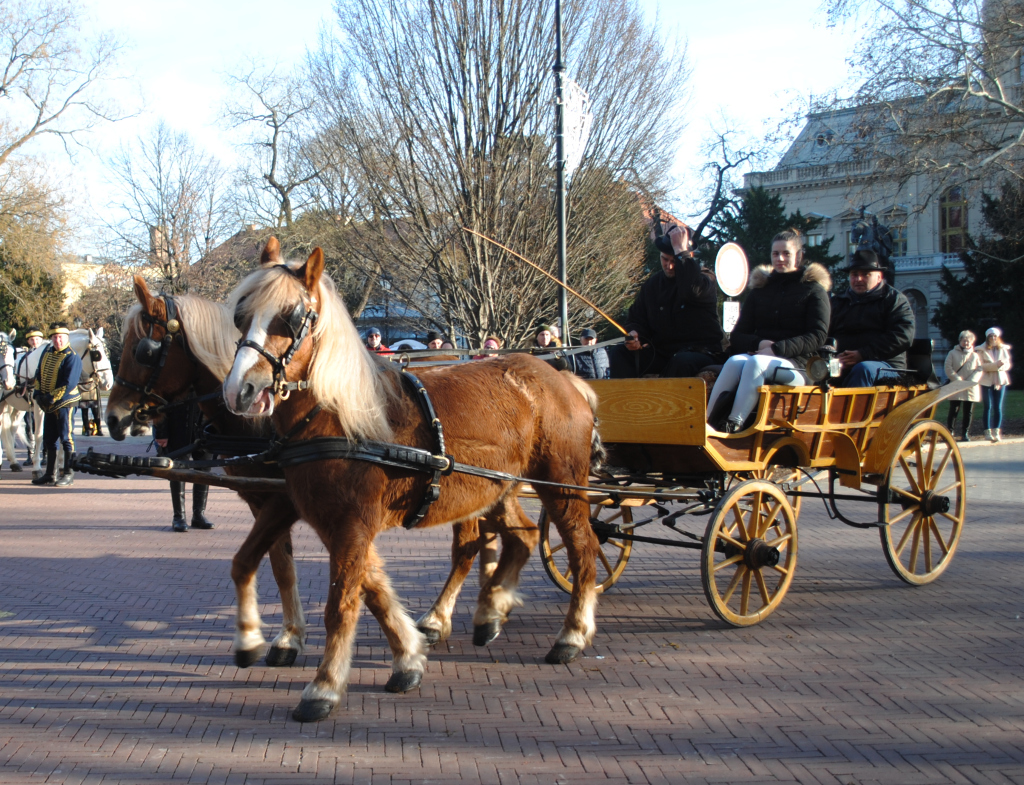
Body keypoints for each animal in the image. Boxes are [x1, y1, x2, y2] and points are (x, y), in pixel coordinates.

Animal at [1, 329, 113, 474]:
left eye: (107, 352)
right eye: (97, 354)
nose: (109, 383)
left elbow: (62, 433)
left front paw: (60, 465)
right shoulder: (38, 407)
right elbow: (39, 435)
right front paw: (37, 467)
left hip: (16, 406)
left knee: (11, 429)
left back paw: (13, 461)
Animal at [224, 241, 602, 724]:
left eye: (290, 318)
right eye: (241, 315)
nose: (241, 391)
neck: (342, 416)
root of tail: (565, 378)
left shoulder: (351, 524)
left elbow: (342, 604)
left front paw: (324, 687)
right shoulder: (315, 515)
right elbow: (368, 588)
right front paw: (408, 658)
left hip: (561, 485)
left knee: (582, 549)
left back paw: (571, 635)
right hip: (498, 487)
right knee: (523, 536)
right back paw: (490, 610)